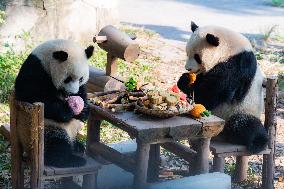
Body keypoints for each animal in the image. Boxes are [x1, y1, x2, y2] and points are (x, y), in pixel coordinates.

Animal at [14, 39, 94, 167]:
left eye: (81, 78)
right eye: (68, 78)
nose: (72, 93)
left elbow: (82, 91)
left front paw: (84, 111)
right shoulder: (35, 69)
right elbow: (31, 95)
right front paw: (67, 111)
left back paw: (78, 146)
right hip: (43, 129)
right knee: (56, 144)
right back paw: (71, 159)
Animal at [178, 21, 268, 154]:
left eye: (197, 57)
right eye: (187, 53)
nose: (188, 68)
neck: (230, 48)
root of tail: (219, 135)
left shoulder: (237, 64)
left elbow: (212, 92)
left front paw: (185, 82)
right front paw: (185, 80)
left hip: (242, 109)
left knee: (244, 123)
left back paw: (257, 142)